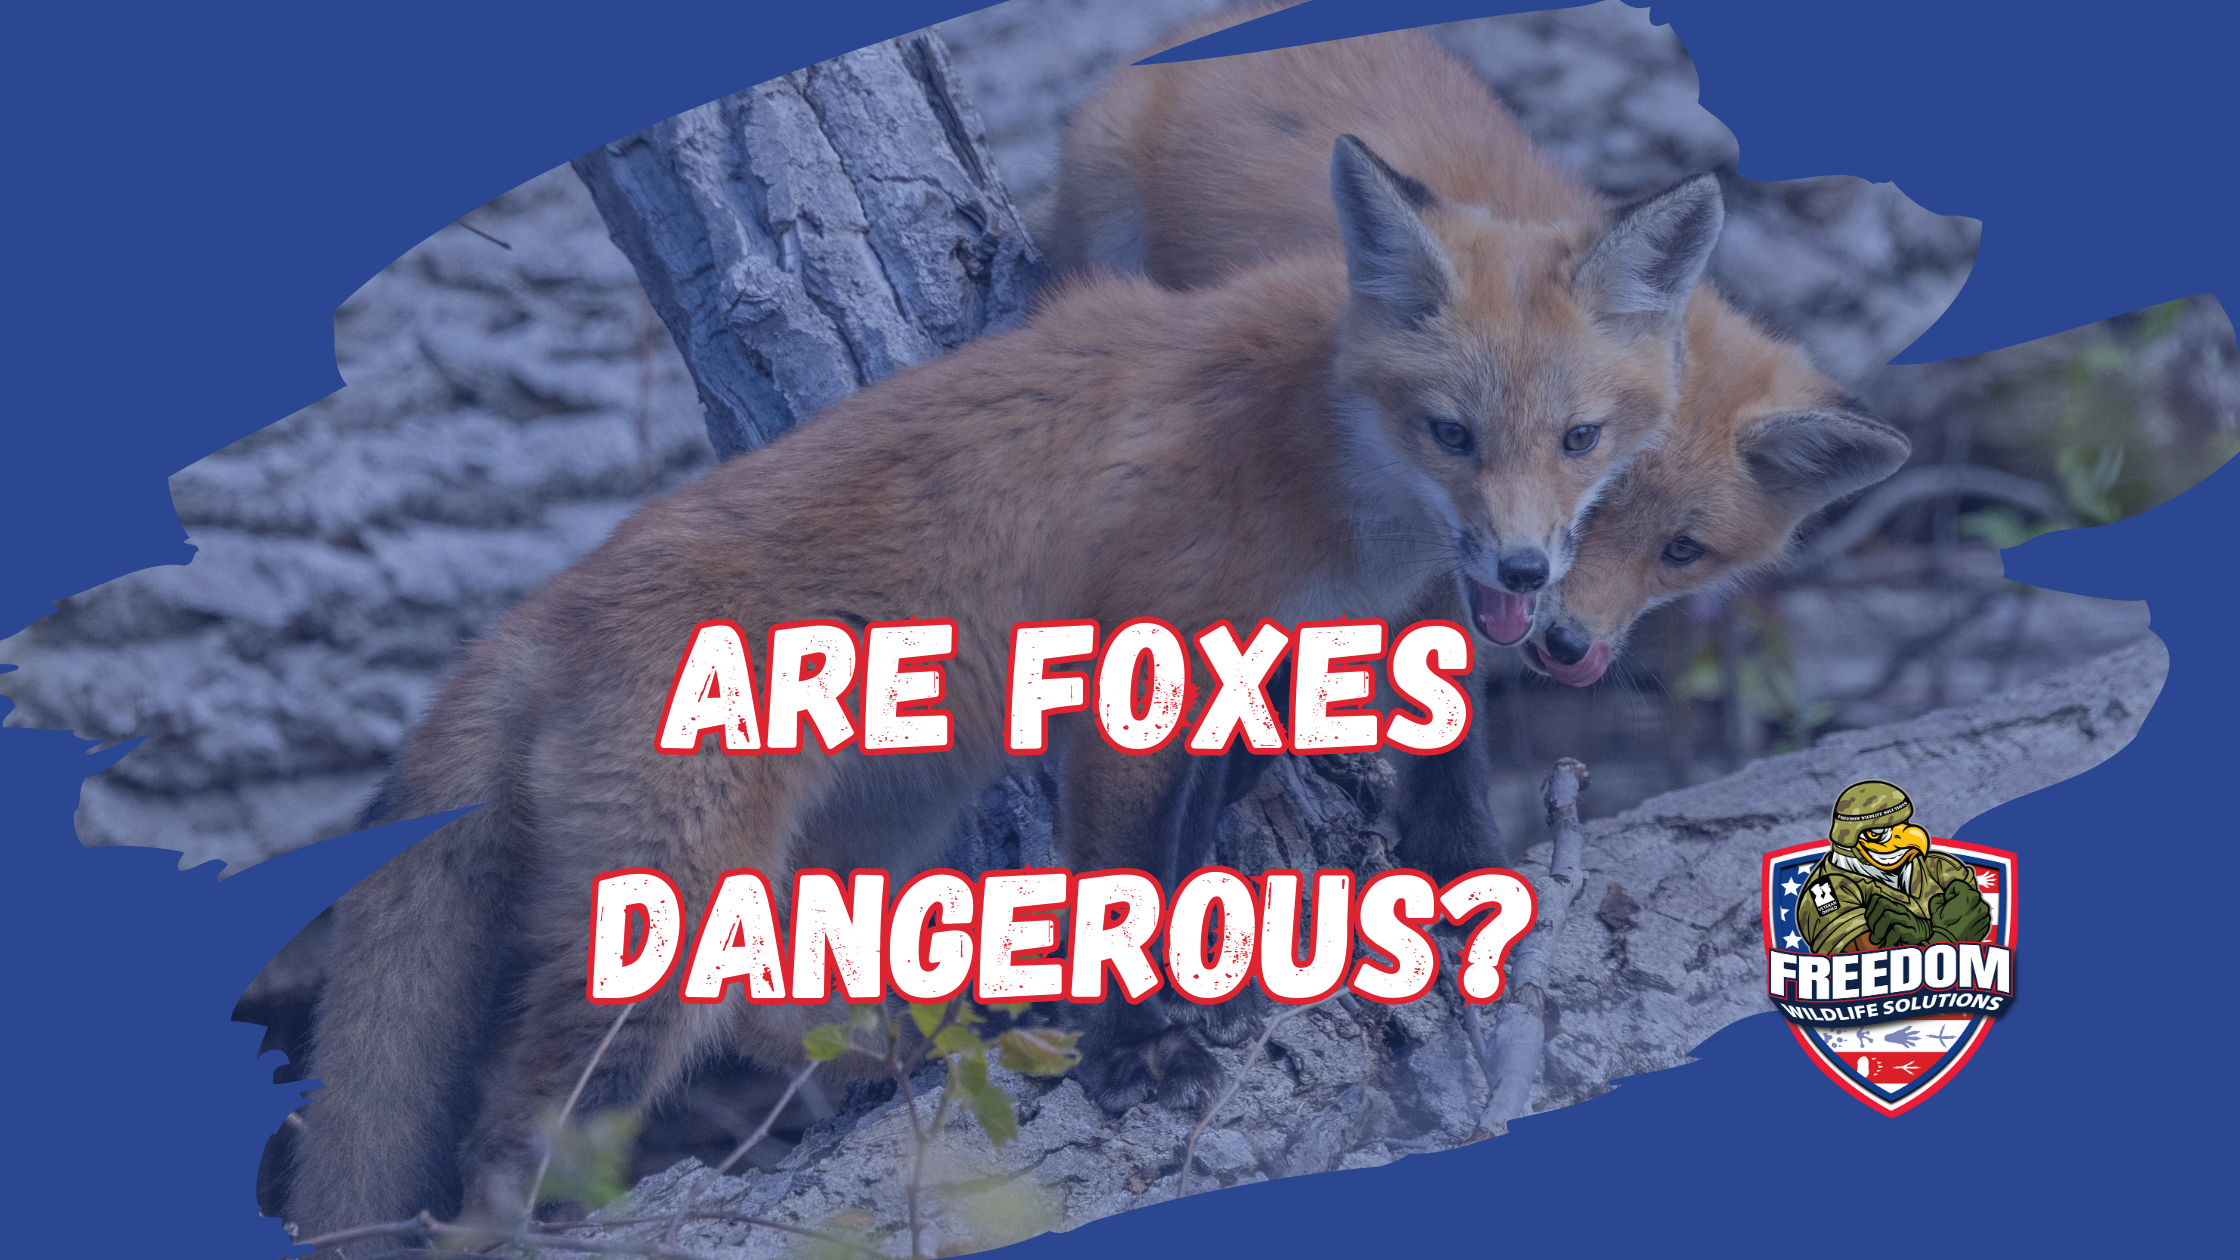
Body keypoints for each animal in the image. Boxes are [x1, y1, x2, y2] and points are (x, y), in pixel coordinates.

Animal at [283, 130, 1725, 1246]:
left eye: (1580, 439)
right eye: (1452, 434)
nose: (1524, 570)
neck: (1317, 457)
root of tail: (531, 616)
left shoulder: (1286, 655)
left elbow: (1246, 829)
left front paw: (1437, 901)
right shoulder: (1139, 660)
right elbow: (1124, 884)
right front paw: (1138, 1048)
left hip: (867, 826)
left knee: (767, 1005)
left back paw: (906, 1050)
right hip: (666, 916)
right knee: (505, 1129)